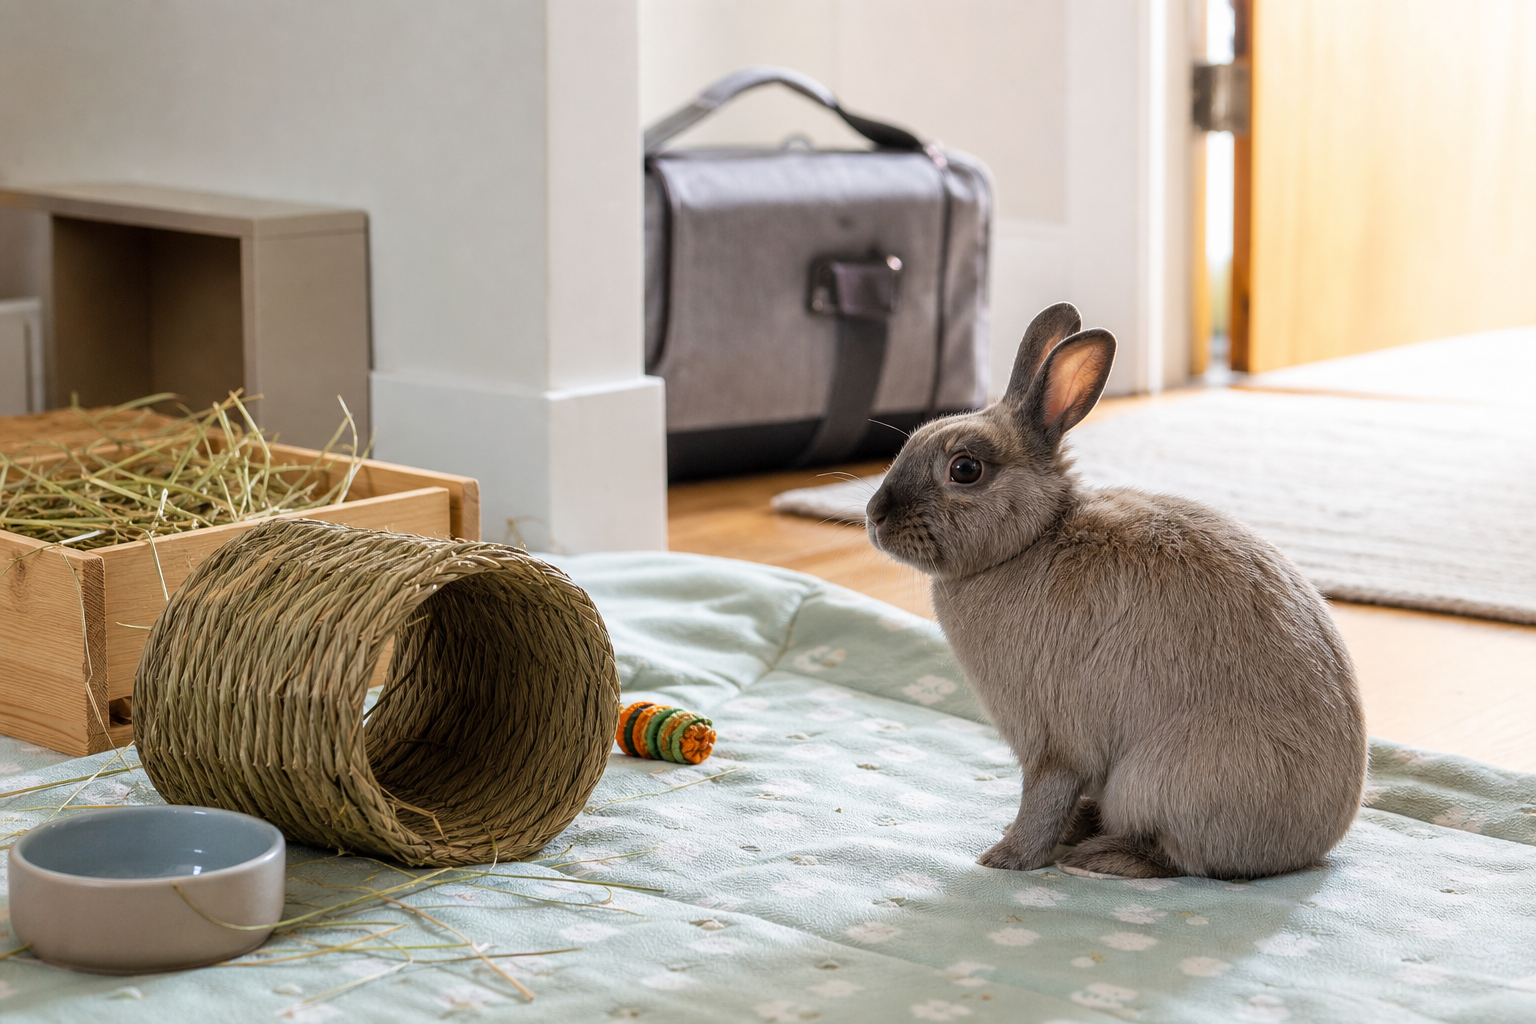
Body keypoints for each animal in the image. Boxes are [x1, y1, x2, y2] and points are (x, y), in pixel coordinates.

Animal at [865, 302, 1367, 879]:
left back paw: (1099, 855)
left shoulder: (1053, 743)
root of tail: (1313, 847)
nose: (873, 515)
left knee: (1177, 856)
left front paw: (1006, 859)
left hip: (1155, 781)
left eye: (965, 469)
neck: (1034, 538)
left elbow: (1042, 798)